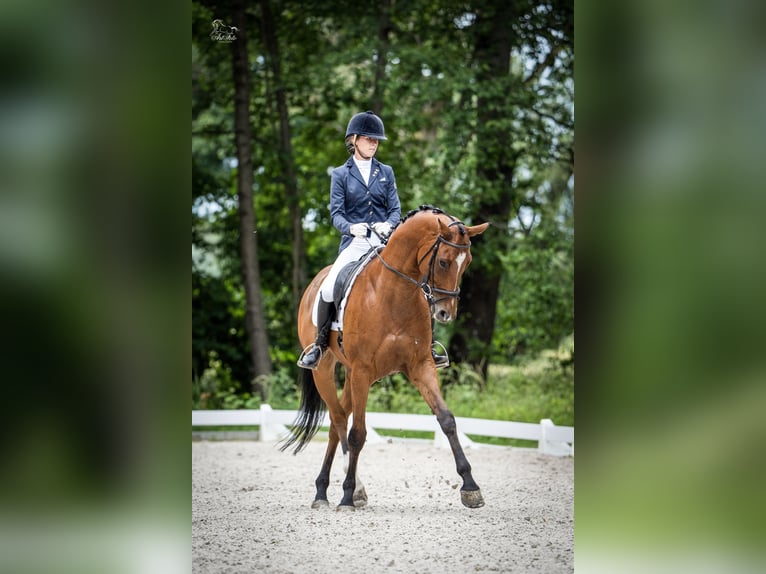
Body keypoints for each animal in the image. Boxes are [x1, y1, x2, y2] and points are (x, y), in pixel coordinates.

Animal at [281, 206, 490, 511]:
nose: (445, 313)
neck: (394, 293)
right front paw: (347, 496)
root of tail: (316, 282)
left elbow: (447, 420)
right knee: (340, 419)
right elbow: (358, 434)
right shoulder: (363, 370)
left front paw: (471, 488)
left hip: (353, 376)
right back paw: (346, 490)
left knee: (337, 421)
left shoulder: (420, 366)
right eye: (443, 262)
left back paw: (326, 490)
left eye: (468, 262)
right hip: (327, 370)